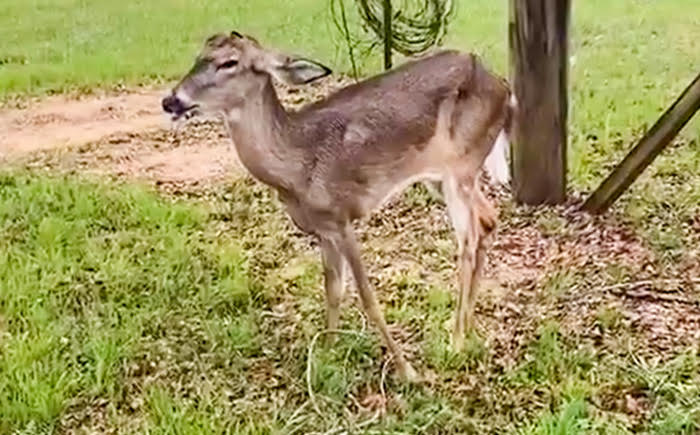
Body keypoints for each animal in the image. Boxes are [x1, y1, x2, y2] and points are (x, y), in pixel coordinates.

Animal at [162, 31, 514, 382]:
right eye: (198, 55)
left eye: (229, 62)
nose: (171, 101)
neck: (296, 167)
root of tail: (504, 89)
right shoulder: (324, 228)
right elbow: (332, 290)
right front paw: (327, 354)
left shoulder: (342, 218)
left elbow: (367, 297)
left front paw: (407, 371)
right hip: (442, 176)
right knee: (488, 220)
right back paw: (467, 329)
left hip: (461, 165)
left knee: (468, 241)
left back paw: (455, 340)